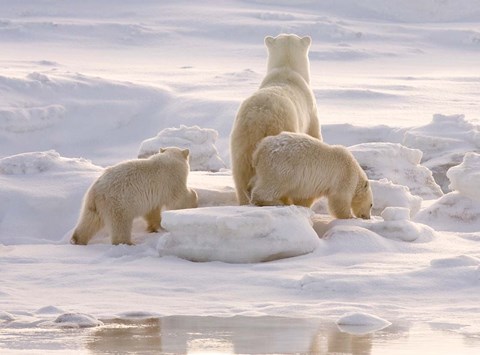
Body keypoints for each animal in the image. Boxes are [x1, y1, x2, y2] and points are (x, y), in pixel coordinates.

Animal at [230, 34, 320, 206]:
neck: (286, 68)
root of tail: (261, 118)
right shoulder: (311, 112)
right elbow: (314, 135)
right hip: (282, 131)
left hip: (242, 140)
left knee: (241, 174)